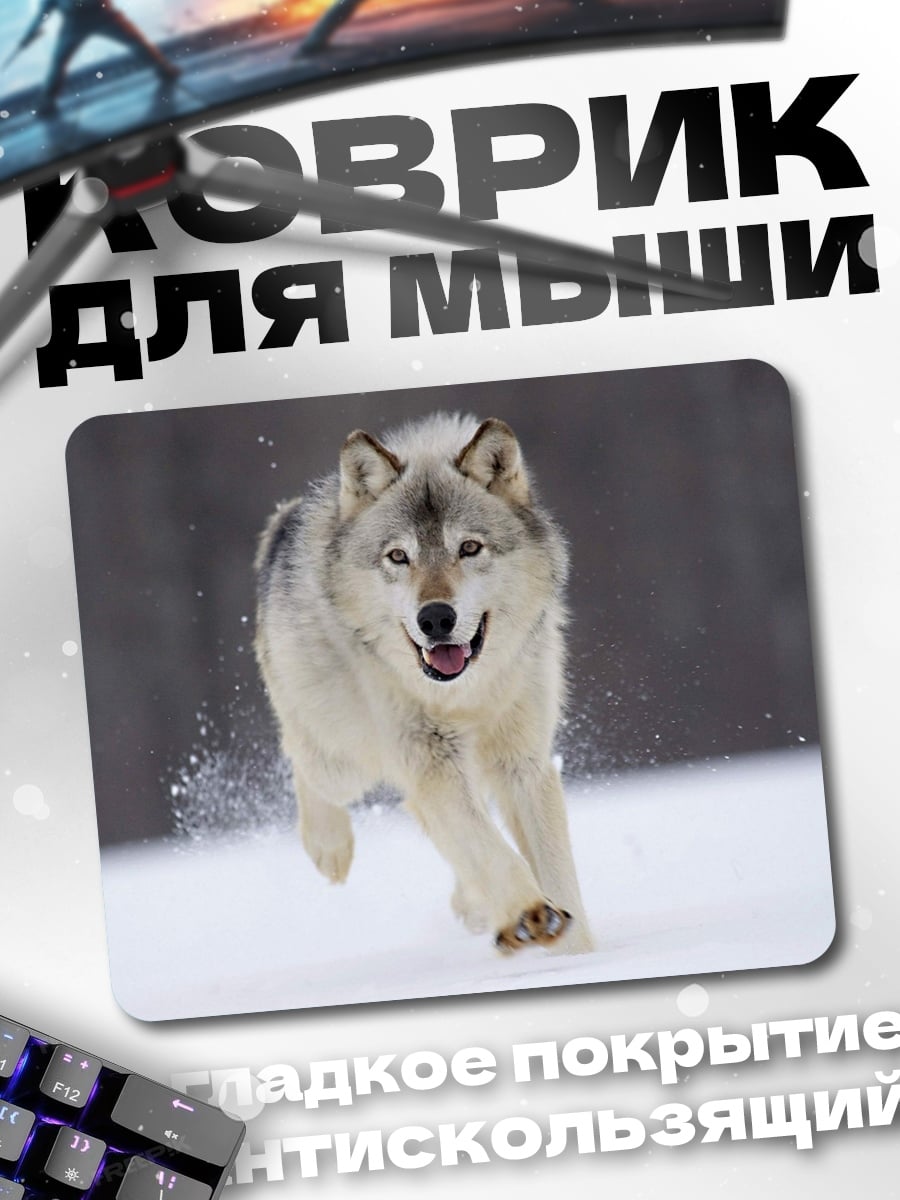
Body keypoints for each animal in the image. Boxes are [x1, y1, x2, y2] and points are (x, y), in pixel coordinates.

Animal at [254, 412, 594, 955]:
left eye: (469, 548)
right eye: (398, 557)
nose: (435, 618)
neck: (463, 695)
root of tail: (284, 521)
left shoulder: (523, 763)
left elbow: (555, 872)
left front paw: (575, 949)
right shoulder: (430, 759)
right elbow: (487, 846)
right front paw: (528, 912)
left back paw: (476, 906)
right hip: (343, 757)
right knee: (303, 760)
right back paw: (329, 848)